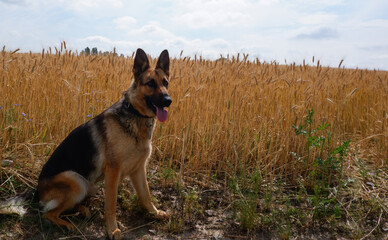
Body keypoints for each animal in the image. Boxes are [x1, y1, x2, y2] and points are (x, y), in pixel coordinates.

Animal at [38, 48, 171, 240]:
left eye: (165, 82)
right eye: (150, 83)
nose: (168, 100)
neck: (135, 115)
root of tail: (36, 193)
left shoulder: (139, 169)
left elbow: (146, 195)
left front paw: (155, 213)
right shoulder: (113, 171)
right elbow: (111, 204)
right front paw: (112, 229)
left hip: (89, 185)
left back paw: (82, 209)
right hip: (76, 180)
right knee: (48, 214)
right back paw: (67, 224)